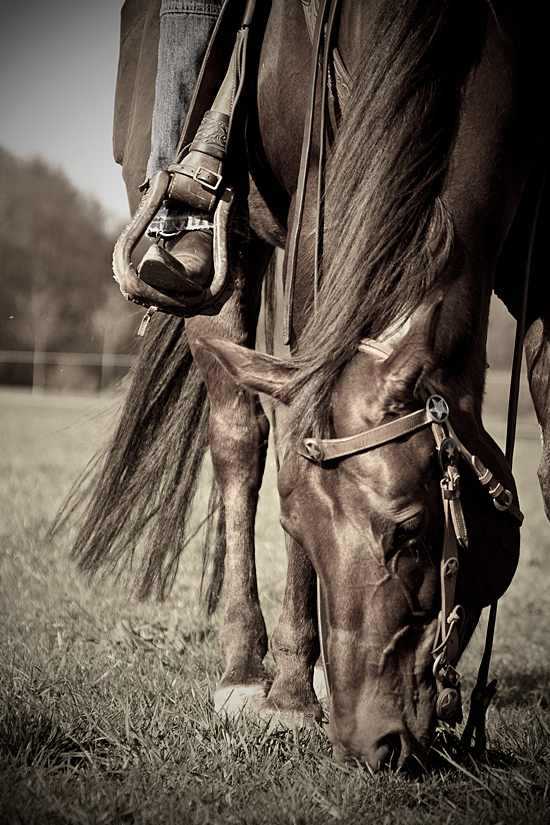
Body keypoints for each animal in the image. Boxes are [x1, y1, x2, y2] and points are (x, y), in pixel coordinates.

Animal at [66, 1, 550, 772]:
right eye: (296, 525)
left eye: (410, 531)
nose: (372, 742)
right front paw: (290, 699)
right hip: (223, 260)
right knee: (237, 439)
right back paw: (249, 674)